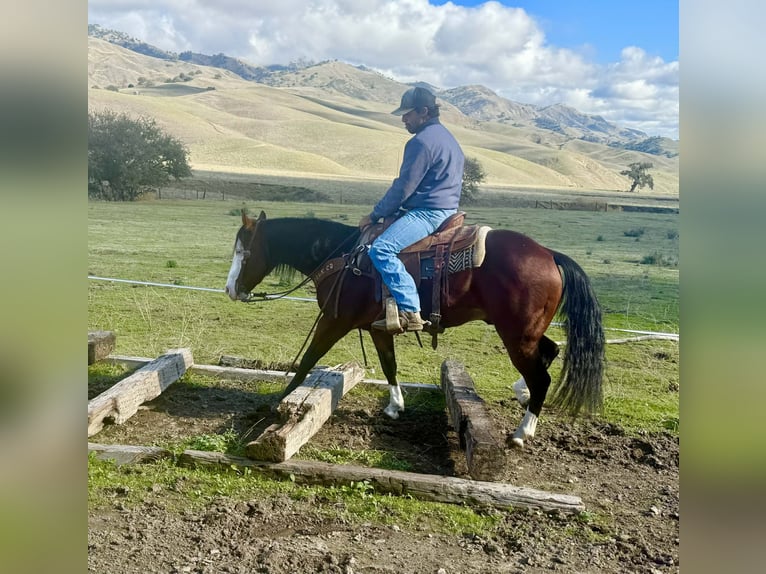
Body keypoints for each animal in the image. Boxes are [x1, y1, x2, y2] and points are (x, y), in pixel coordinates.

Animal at [225, 210, 605, 448]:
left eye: (245, 253)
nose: (230, 289)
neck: (343, 257)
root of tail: (549, 254)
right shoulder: (377, 328)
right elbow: (389, 364)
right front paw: (395, 406)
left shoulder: (335, 321)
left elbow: (308, 359)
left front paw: (279, 401)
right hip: (524, 331)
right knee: (550, 350)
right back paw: (521, 392)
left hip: (516, 335)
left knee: (542, 376)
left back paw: (522, 431)